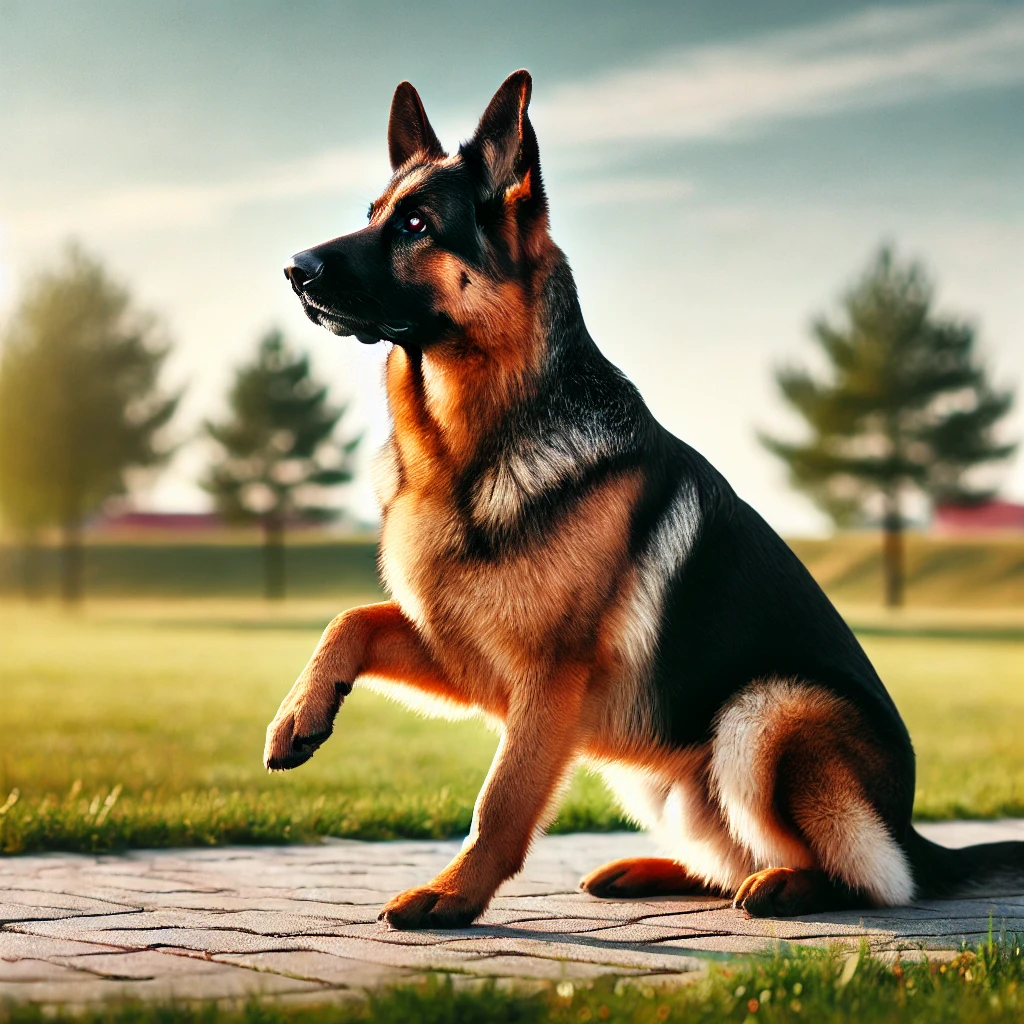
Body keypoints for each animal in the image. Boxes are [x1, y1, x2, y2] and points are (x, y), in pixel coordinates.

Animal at [266, 70, 1024, 929]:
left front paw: (453, 894)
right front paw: (298, 715)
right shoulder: (473, 661)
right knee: (732, 859)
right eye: (373, 215)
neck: (472, 444)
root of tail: (917, 835)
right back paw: (649, 870)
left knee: (857, 875)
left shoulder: (546, 680)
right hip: (662, 774)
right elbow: (350, 619)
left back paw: (788, 887)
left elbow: (501, 798)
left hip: (766, 712)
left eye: (418, 225)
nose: (293, 270)